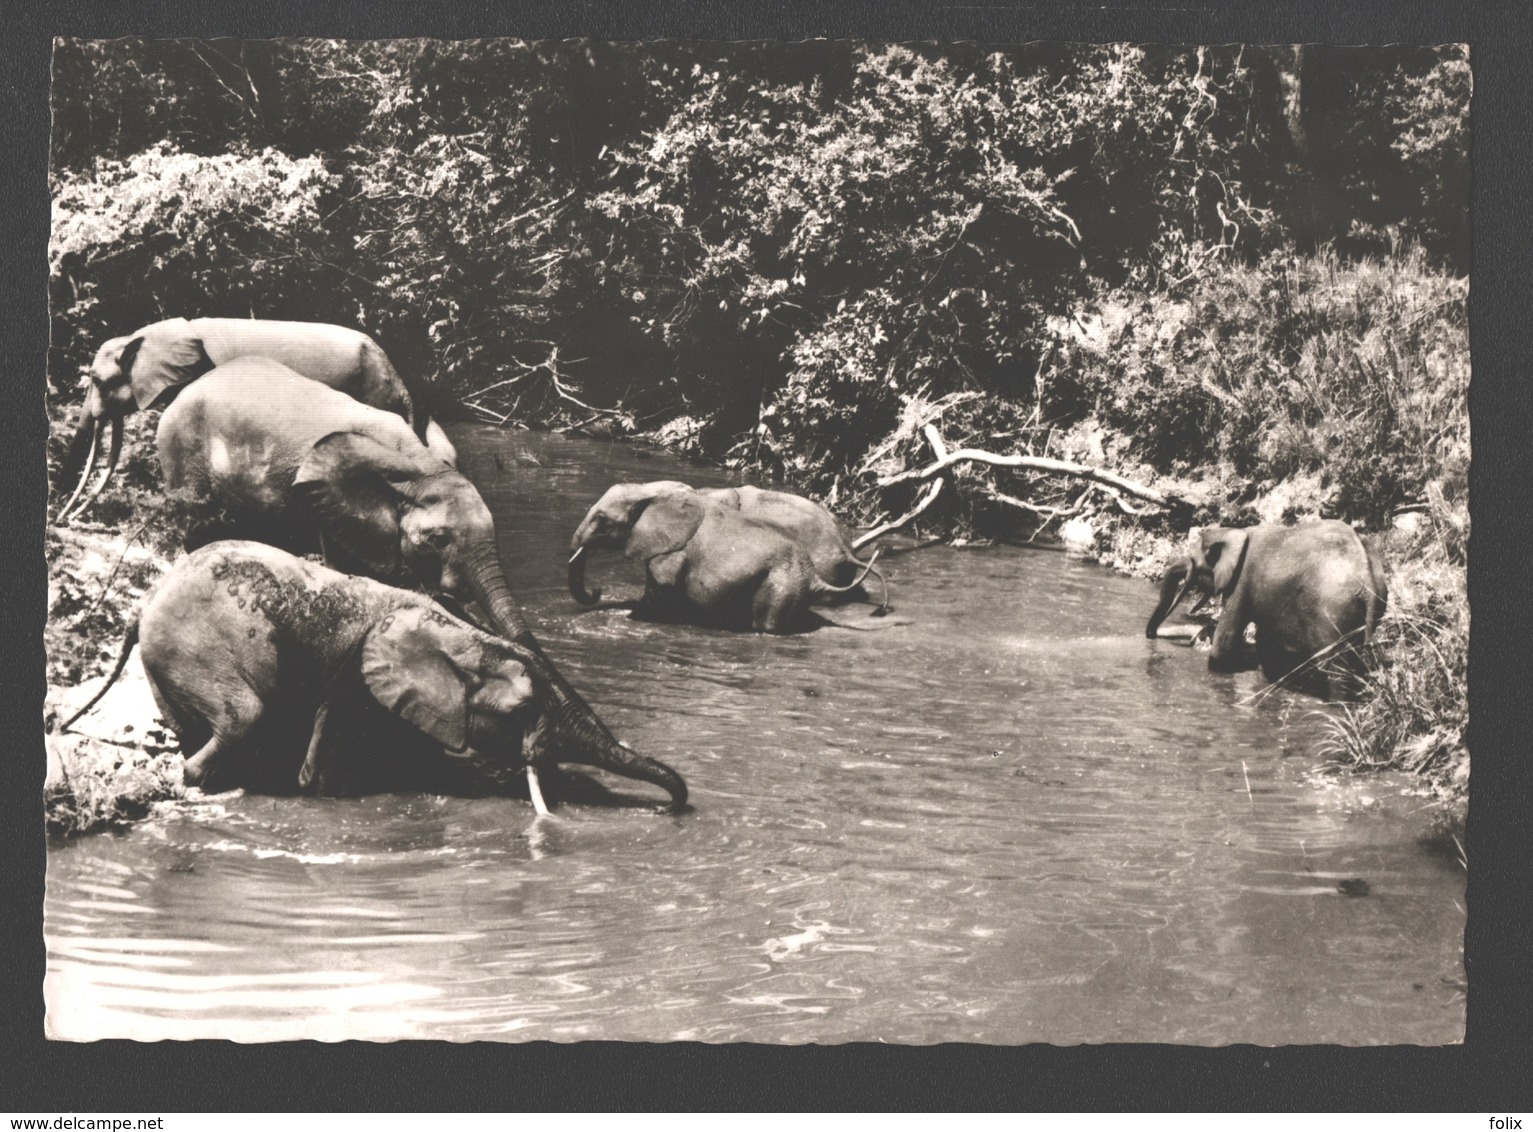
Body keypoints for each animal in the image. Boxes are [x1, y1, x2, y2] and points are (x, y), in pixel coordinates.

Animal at [59, 539, 683, 809]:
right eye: (523, 711)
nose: (671, 805)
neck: (455, 632)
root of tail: (142, 603)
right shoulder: (353, 682)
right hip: (193, 649)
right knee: (243, 718)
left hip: (167, 662)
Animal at [570, 481, 895, 631]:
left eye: (601, 520)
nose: (597, 590)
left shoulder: (674, 552)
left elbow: (659, 589)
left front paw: (631, 617)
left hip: (783, 583)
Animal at [1140, 521, 1391, 696]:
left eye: (1193, 561)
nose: (1151, 635)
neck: (1234, 532)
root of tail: (1368, 581)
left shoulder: (1241, 582)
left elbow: (1225, 642)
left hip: (1334, 614)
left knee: (1336, 671)